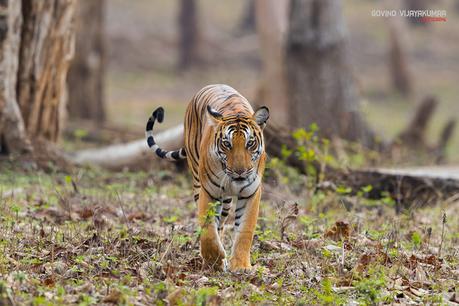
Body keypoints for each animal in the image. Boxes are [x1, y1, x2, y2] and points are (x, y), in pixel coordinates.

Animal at [146, 83, 270, 270]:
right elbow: (208, 228)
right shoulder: (208, 191)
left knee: (222, 223)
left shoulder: (251, 193)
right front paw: (215, 259)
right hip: (198, 182)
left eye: (250, 143)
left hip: (226, 201)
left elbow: (245, 230)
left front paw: (240, 265)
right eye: (227, 144)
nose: (240, 171)